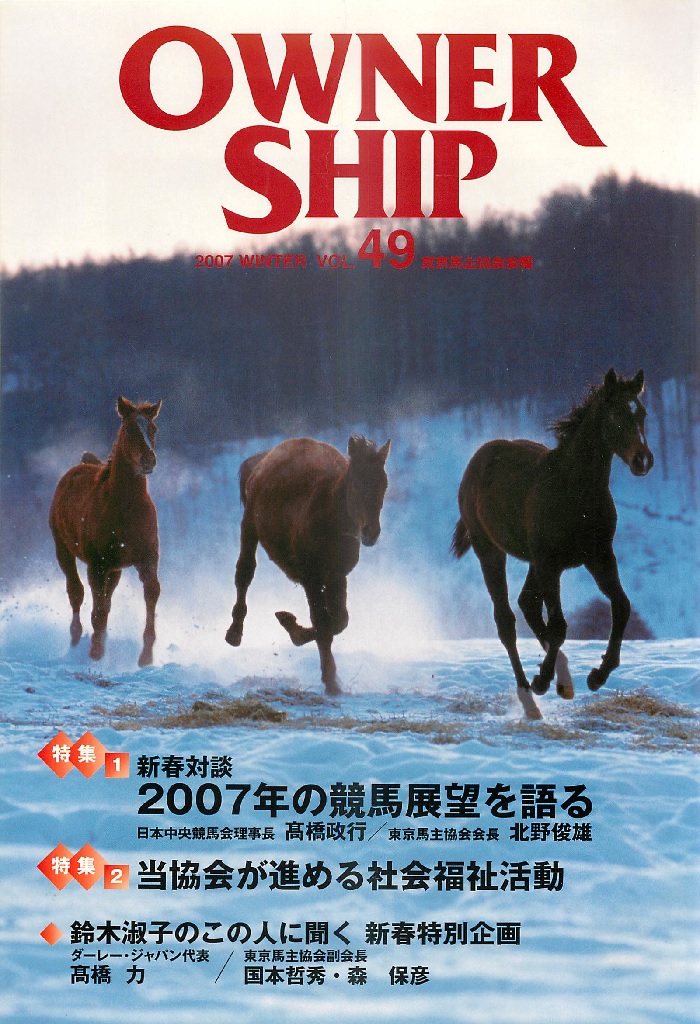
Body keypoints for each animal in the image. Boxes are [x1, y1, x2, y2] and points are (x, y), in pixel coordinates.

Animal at [49, 396, 162, 666]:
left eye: (153, 429)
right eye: (129, 429)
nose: (148, 460)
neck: (126, 508)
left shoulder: (147, 559)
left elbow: (151, 593)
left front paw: (146, 657)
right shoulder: (97, 564)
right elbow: (97, 610)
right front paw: (95, 655)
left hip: (115, 569)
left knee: (105, 599)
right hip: (63, 550)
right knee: (76, 592)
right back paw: (76, 640)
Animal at [225, 435, 391, 694]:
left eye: (384, 485)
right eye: (357, 485)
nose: (371, 533)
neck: (329, 517)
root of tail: (261, 461)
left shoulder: (337, 576)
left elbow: (338, 621)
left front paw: (289, 622)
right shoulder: (311, 578)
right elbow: (323, 622)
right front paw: (331, 681)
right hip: (249, 525)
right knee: (244, 572)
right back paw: (234, 632)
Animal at [451, 369, 654, 720]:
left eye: (640, 413)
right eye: (615, 415)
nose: (643, 460)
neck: (575, 491)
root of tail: (477, 461)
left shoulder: (599, 557)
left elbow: (621, 606)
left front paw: (597, 675)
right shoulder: (551, 563)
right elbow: (559, 625)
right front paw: (543, 682)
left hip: (535, 561)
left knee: (528, 604)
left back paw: (563, 677)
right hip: (491, 551)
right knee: (507, 621)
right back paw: (530, 697)